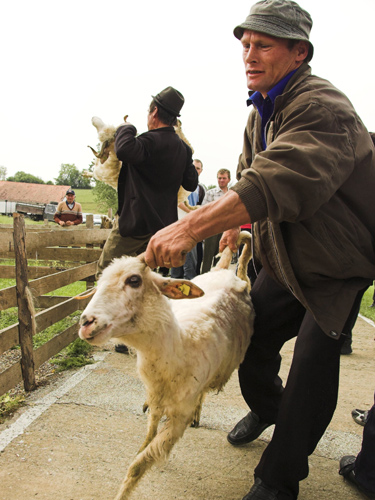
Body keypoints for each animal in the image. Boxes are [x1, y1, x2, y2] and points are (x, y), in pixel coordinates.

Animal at [79, 233, 256, 500]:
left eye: (134, 280)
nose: (86, 322)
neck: (179, 348)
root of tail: (228, 270)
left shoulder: (178, 417)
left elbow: (138, 466)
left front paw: (123, 492)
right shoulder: (155, 395)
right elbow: (149, 433)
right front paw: (143, 445)